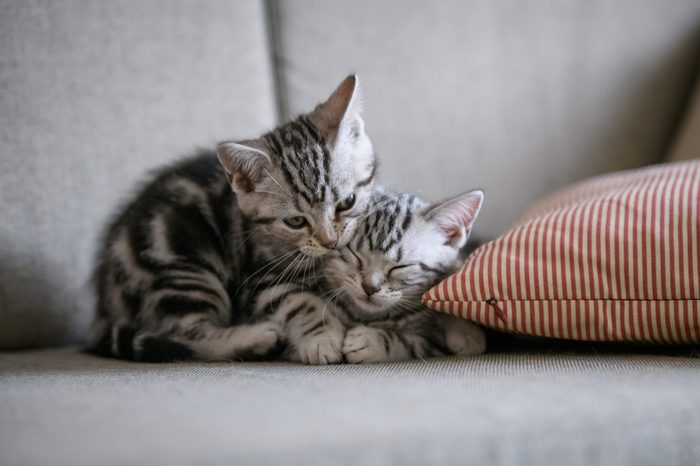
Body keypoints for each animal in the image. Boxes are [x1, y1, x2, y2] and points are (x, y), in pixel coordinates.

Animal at [91, 75, 382, 364]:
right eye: (296, 222)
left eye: (347, 202)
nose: (330, 241)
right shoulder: (259, 279)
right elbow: (302, 303)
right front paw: (321, 340)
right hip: (183, 269)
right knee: (189, 336)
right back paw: (258, 339)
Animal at [252, 188, 486, 364]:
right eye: (355, 256)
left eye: (400, 267)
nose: (369, 287)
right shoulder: (270, 279)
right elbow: (302, 304)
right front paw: (321, 340)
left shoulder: (430, 342)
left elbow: (414, 344)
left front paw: (370, 342)